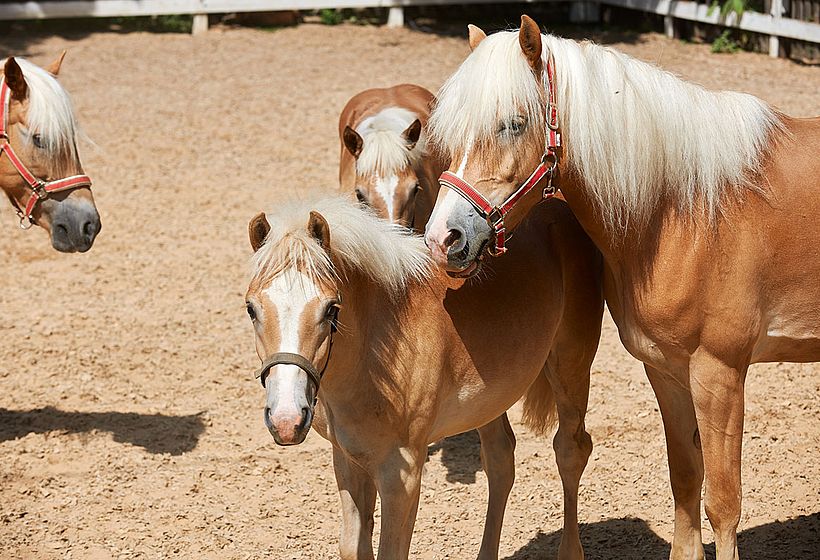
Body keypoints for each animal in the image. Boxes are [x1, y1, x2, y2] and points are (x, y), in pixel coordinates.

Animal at [243, 196, 604, 560]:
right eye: (251, 309)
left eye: (331, 309)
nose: (287, 420)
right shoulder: (348, 459)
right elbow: (354, 546)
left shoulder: (401, 473)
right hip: (489, 400)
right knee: (501, 460)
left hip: (570, 364)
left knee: (571, 450)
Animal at [422, 14, 820, 560]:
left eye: (513, 123)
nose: (444, 239)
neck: (685, 211)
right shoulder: (666, 370)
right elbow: (685, 481)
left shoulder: (720, 374)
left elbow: (723, 503)